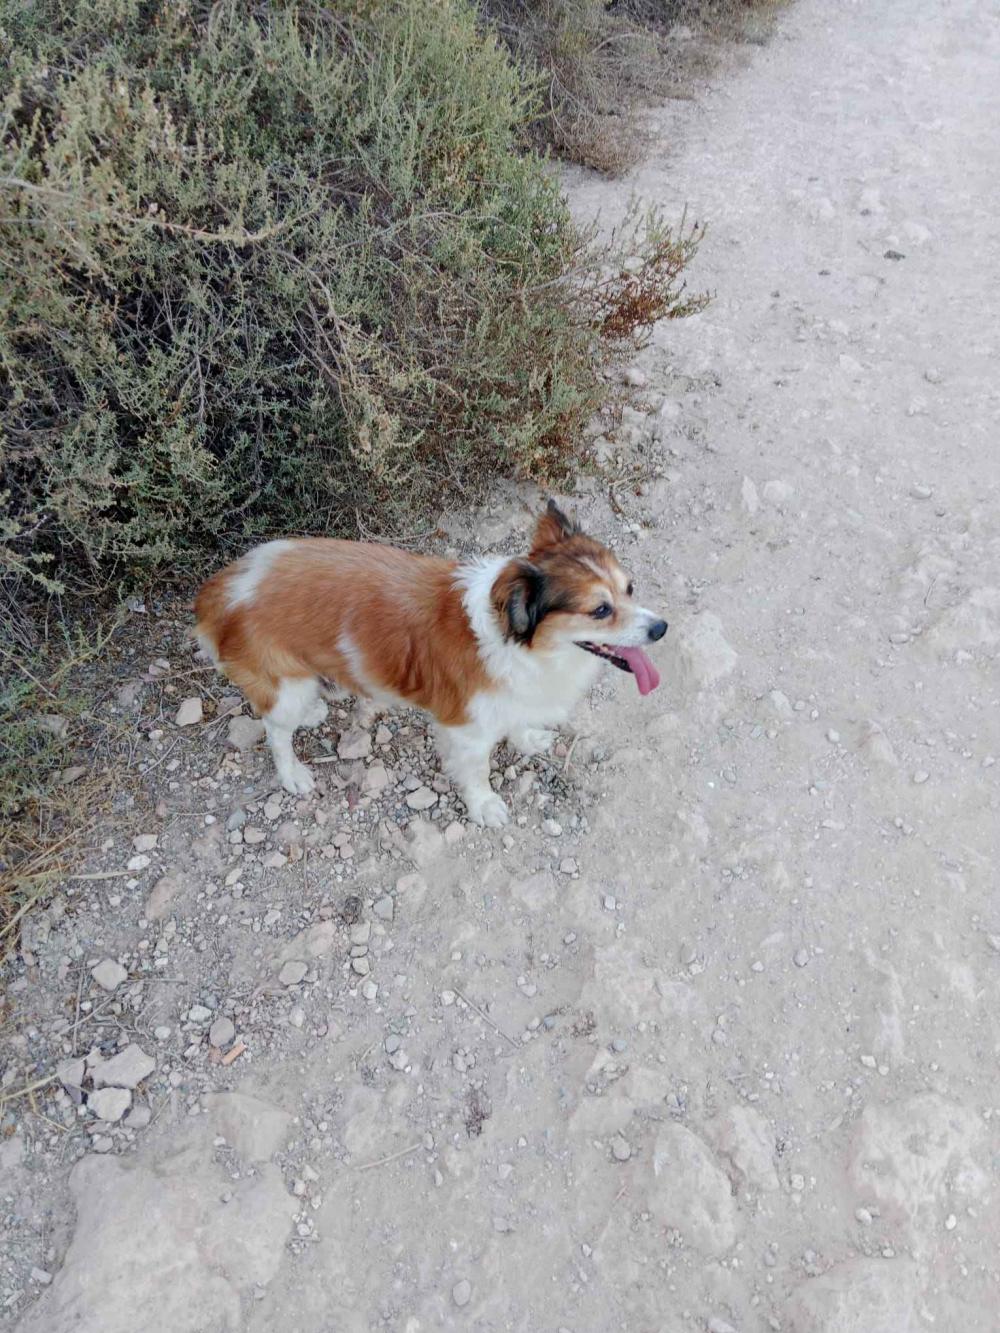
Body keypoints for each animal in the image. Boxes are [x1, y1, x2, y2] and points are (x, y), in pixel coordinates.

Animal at [193, 503, 666, 826]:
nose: (661, 628)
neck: (518, 640)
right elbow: (477, 771)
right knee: (275, 730)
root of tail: (220, 588)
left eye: (629, 589)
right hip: (284, 686)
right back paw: (291, 771)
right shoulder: (467, 730)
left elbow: (517, 722)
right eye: (600, 610)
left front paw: (528, 737)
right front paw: (484, 805)